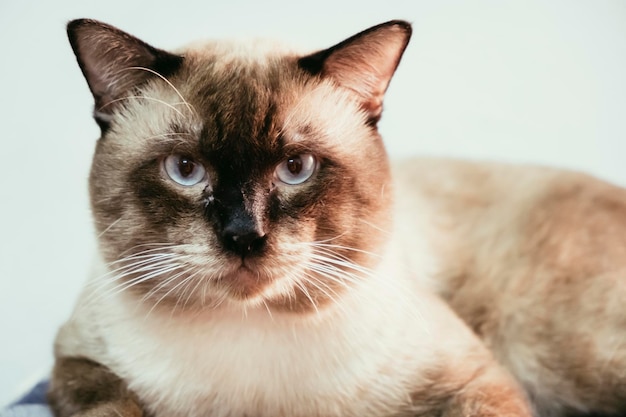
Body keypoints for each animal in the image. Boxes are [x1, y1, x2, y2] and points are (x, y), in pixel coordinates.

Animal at [47, 17, 624, 416]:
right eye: (185, 170)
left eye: (296, 168)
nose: (244, 236)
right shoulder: (74, 364)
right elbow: (113, 404)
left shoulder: (476, 381)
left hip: (546, 352)